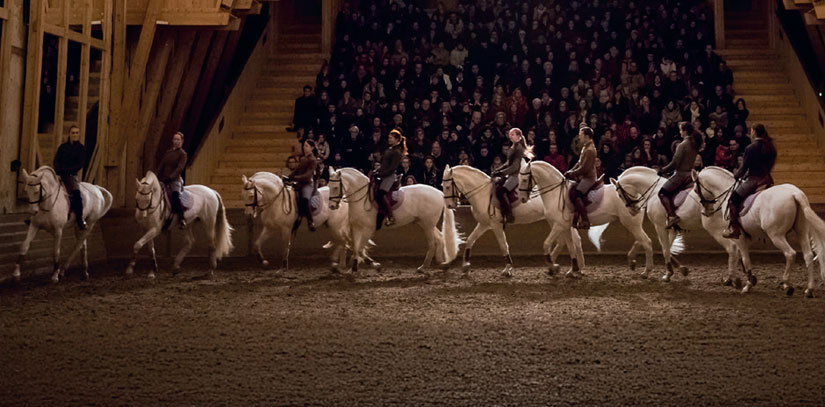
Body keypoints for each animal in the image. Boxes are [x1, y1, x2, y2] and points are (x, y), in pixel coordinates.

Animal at [241, 171, 373, 272]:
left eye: (251, 195)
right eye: (243, 195)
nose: (248, 214)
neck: (277, 201)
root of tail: (343, 198)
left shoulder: (285, 229)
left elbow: (285, 247)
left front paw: (283, 267)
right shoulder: (269, 228)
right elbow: (257, 244)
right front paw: (263, 261)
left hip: (336, 226)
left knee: (345, 241)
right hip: (334, 227)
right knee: (345, 242)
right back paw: (343, 264)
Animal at [328, 167, 462, 273]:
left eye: (335, 187)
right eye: (329, 187)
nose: (332, 206)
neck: (361, 198)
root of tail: (439, 193)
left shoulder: (368, 229)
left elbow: (360, 250)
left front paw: (375, 265)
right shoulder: (356, 228)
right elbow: (355, 248)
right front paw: (353, 268)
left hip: (428, 224)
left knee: (432, 243)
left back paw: (424, 266)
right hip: (425, 223)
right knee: (439, 238)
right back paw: (441, 264)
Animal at [519, 161, 654, 276]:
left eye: (524, 180)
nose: (522, 199)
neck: (556, 193)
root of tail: (637, 197)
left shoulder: (559, 225)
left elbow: (546, 244)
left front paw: (554, 266)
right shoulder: (565, 226)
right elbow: (571, 246)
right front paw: (573, 269)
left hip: (631, 223)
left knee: (646, 242)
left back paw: (646, 272)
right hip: (633, 224)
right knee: (641, 240)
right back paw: (632, 261)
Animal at [694, 166, 825, 297]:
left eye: (695, 190)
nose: (705, 212)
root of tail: (794, 193)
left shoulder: (739, 237)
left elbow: (745, 259)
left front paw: (748, 285)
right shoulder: (746, 237)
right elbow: (740, 257)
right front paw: (745, 280)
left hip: (776, 236)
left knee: (790, 254)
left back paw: (787, 284)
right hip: (801, 231)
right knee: (808, 255)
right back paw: (809, 289)